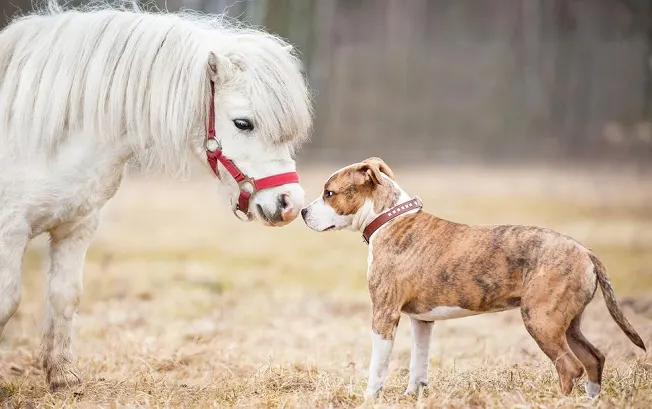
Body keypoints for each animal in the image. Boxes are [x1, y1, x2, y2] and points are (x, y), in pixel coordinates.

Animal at [0, 0, 314, 388]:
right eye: (243, 123)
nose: (290, 204)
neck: (43, 132)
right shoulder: (9, 232)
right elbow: (7, 302)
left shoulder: (77, 226)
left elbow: (64, 295)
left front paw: (63, 378)